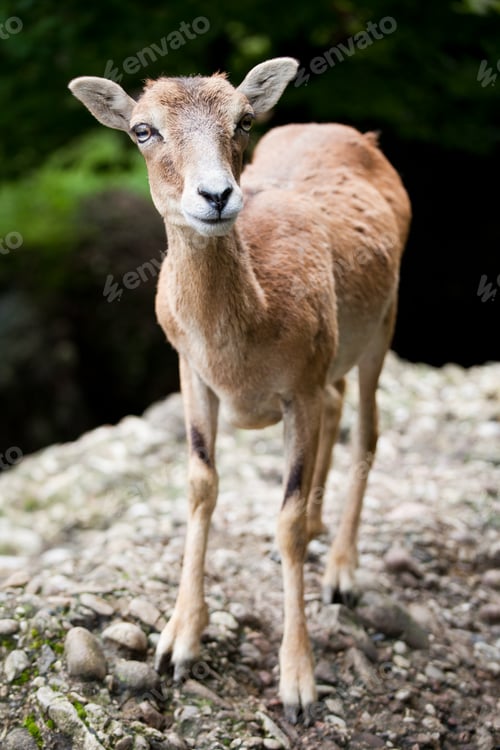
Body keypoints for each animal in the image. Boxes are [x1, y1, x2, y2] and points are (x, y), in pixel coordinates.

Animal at [69, 57, 411, 723]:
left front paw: (299, 686)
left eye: (244, 119)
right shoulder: (191, 372)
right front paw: (176, 645)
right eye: (143, 129)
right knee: (340, 412)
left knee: (368, 428)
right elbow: (202, 484)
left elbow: (285, 520)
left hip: (380, 326)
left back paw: (342, 571)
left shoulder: (299, 385)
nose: (217, 195)